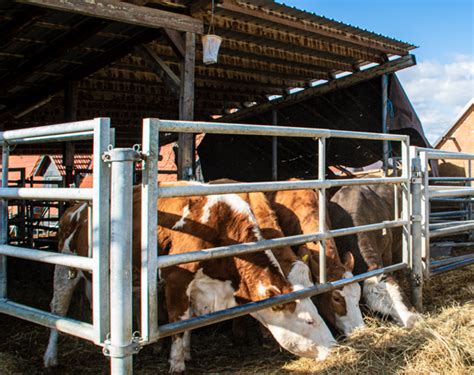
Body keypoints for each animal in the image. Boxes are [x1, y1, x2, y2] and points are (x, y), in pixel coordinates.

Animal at [42, 182, 336, 374]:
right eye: (309, 320)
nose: (334, 346)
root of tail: (74, 208)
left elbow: (191, 322)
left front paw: (186, 353)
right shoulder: (176, 279)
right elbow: (178, 321)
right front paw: (177, 363)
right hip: (64, 267)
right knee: (57, 308)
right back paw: (50, 357)